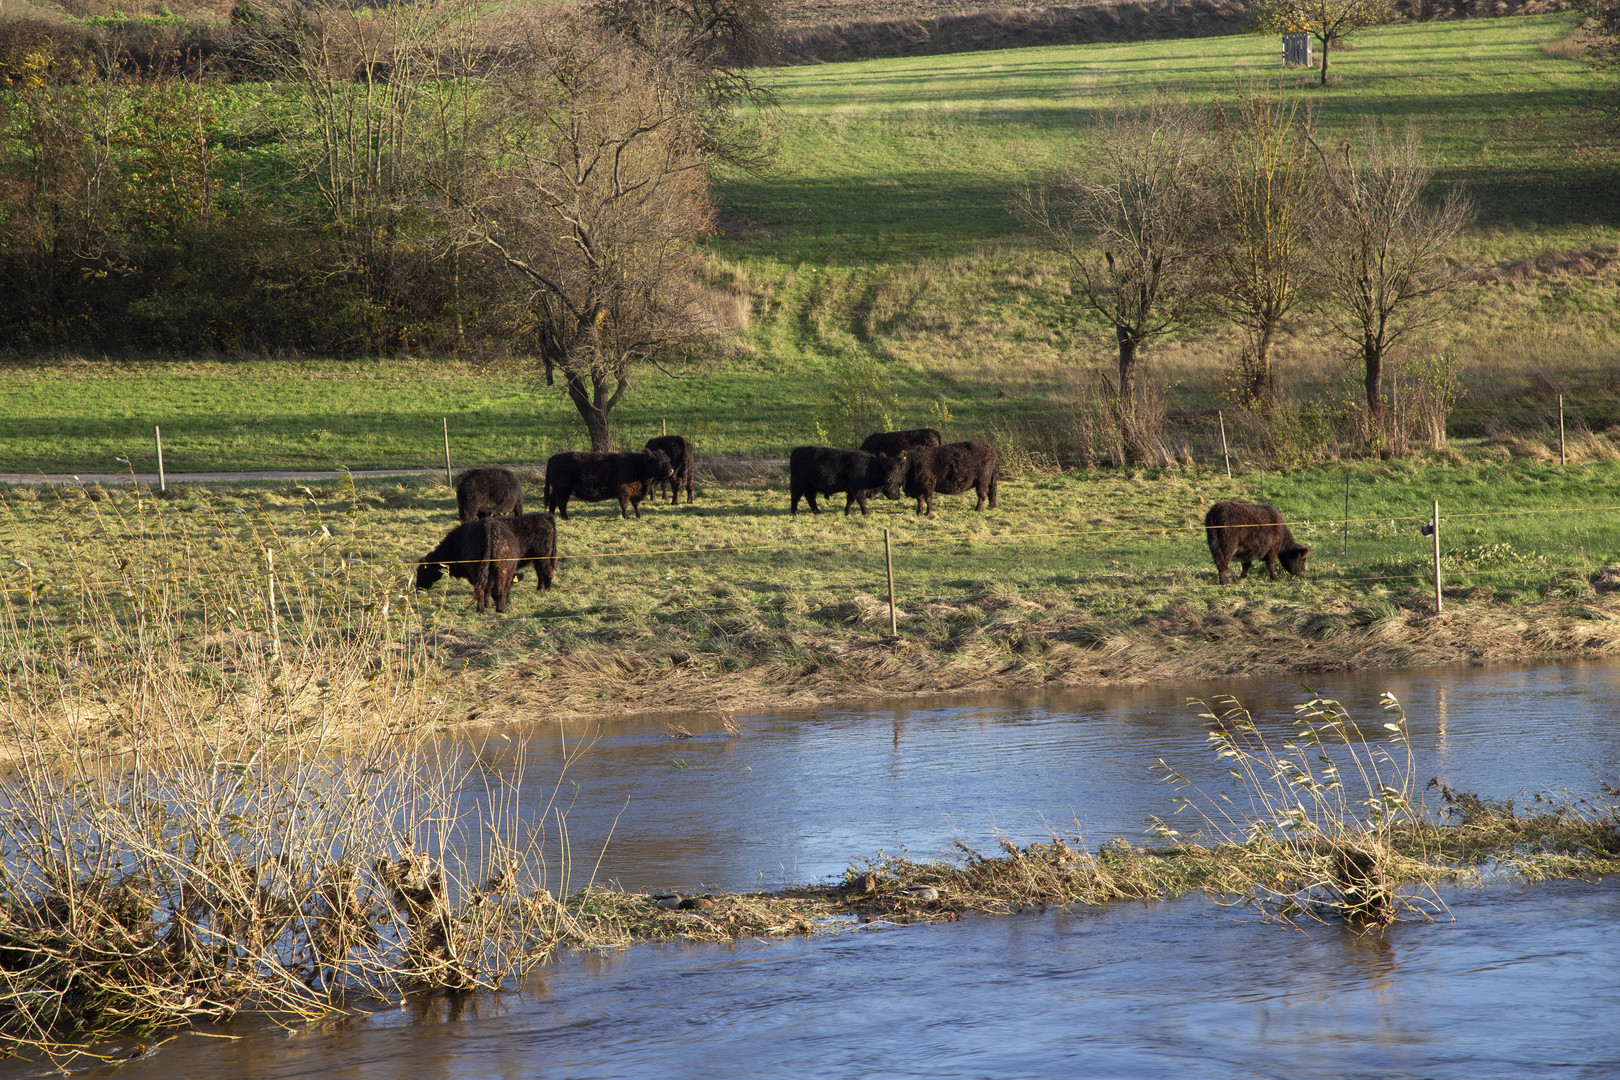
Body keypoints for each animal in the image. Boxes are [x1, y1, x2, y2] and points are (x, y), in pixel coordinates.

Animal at [541, 446, 673, 518]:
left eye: (668, 460)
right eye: (659, 462)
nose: (671, 470)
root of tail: (553, 458)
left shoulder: (636, 491)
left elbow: (636, 504)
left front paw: (638, 516)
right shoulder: (623, 491)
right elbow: (624, 504)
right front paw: (627, 517)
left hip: (557, 489)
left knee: (553, 502)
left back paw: (552, 516)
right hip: (562, 490)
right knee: (561, 504)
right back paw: (566, 518)